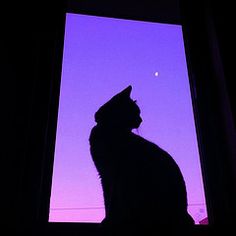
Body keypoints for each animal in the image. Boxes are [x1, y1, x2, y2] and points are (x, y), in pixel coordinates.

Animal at [88, 85, 194, 234]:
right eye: (135, 112)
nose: (141, 120)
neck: (109, 130)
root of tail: (184, 213)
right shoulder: (105, 175)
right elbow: (107, 199)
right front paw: (107, 220)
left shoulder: (117, 175)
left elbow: (112, 201)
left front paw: (109, 222)